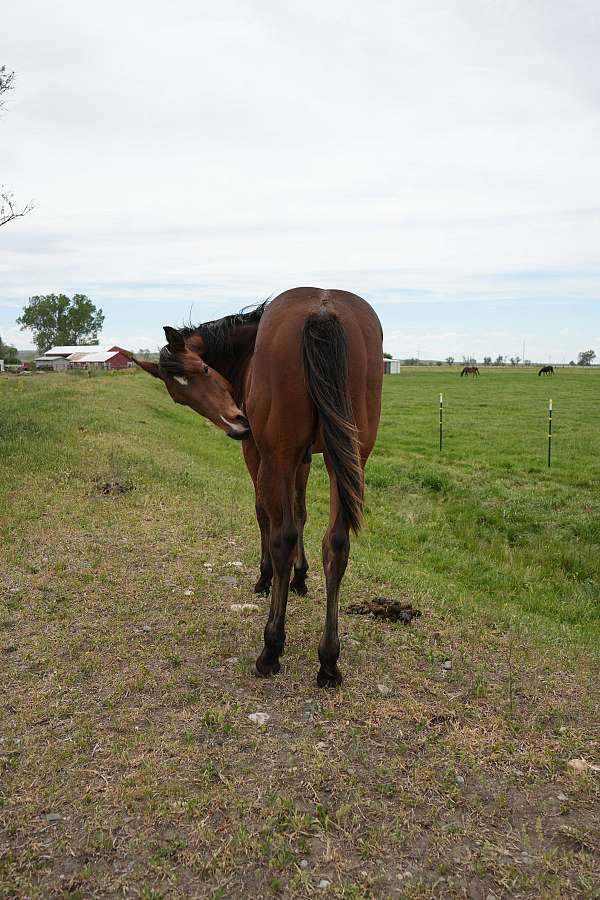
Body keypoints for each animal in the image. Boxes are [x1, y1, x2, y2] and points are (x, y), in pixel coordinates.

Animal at [134, 287, 383, 687]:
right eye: (178, 396)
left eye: (205, 369)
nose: (237, 424)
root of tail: (322, 309)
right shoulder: (304, 458)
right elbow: (301, 513)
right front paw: (300, 577)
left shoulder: (259, 452)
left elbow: (266, 514)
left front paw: (267, 577)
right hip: (347, 458)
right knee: (337, 545)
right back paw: (329, 660)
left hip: (277, 455)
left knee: (283, 536)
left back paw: (271, 649)